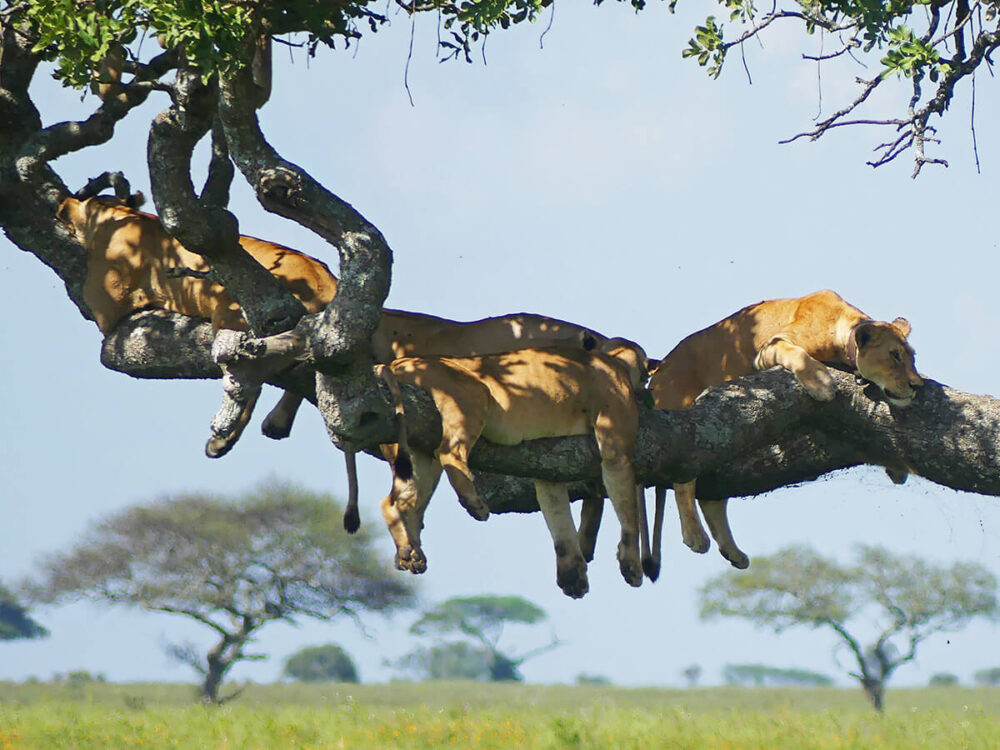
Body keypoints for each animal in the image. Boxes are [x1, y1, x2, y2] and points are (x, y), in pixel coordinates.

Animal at [377, 339, 650, 599]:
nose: (645, 389)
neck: (613, 359)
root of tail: (397, 363)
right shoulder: (616, 447)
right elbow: (629, 513)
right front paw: (631, 565)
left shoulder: (549, 473)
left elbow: (560, 520)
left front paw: (572, 576)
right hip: (471, 394)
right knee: (449, 453)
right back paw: (474, 505)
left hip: (416, 448)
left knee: (398, 502)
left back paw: (410, 553)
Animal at [626, 289, 923, 576]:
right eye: (895, 355)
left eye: (912, 357)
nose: (916, 385)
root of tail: (657, 376)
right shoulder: (770, 347)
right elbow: (798, 355)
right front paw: (821, 383)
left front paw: (897, 470)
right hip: (689, 422)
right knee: (684, 479)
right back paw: (695, 536)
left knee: (712, 498)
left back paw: (733, 553)